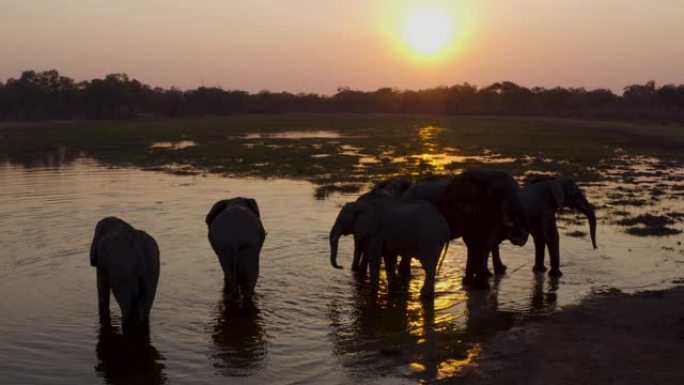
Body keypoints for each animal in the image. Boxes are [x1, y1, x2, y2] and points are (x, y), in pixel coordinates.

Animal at [404, 170, 532, 286]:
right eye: (499, 194)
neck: (484, 175)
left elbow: (481, 241)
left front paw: (476, 280)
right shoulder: (466, 211)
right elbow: (474, 240)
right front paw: (479, 283)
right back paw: (407, 276)